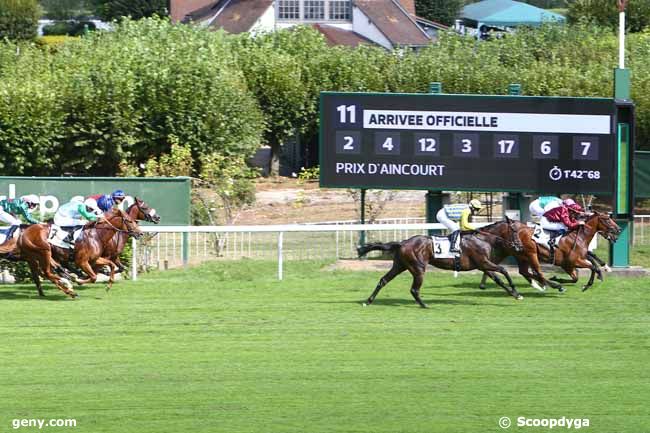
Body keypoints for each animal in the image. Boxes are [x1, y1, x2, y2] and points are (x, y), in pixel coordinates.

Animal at [354, 219, 520, 308]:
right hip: (418, 268)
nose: (519, 246)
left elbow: (498, 279)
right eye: (514, 231)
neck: (482, 239)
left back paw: (368, 301)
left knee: (383, 280)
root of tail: (403, 242)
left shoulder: (483, 265)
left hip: (399, 266)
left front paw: (515, 294)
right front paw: (516, 291)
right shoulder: (484, 262)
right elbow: (504, 270)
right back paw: (424, 305)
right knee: (414, 289)